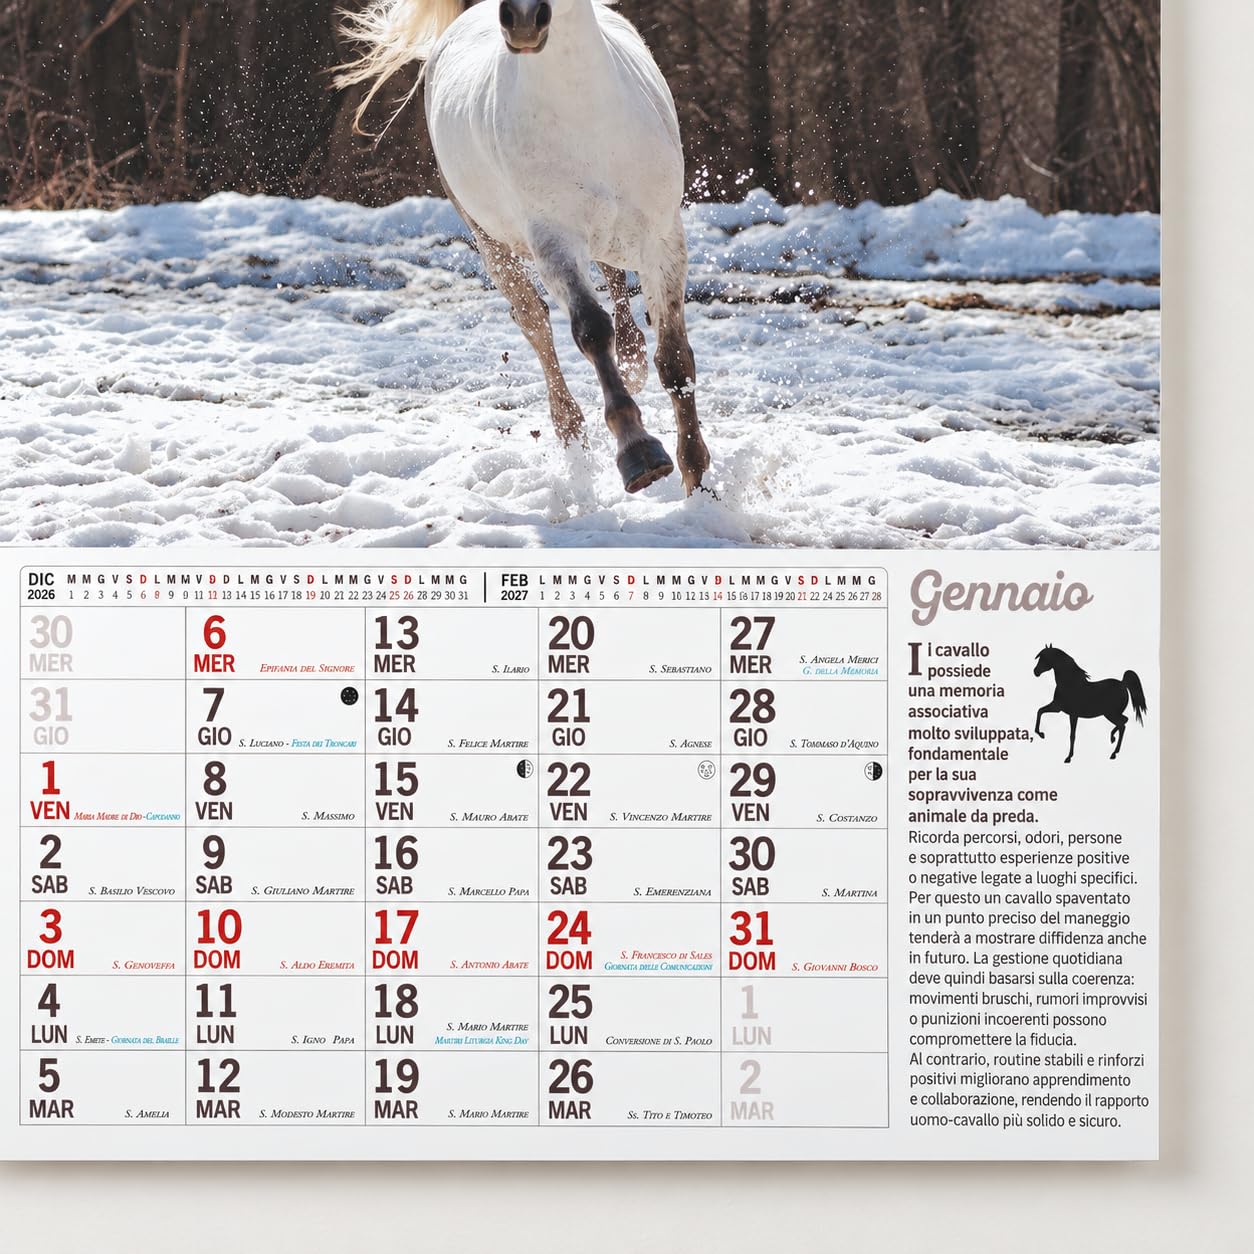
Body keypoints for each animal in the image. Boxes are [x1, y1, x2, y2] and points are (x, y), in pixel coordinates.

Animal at [335, 0, 710, 497]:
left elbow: (675, 360)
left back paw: (632, 361)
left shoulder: (663, 238)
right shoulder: (553, 244)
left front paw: (699, 483)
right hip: (494, 244)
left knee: (613, 280)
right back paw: (572, 430)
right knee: (537, 324)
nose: (524, 20)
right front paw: (639, 453)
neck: (583, 113)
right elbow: (591, 331)